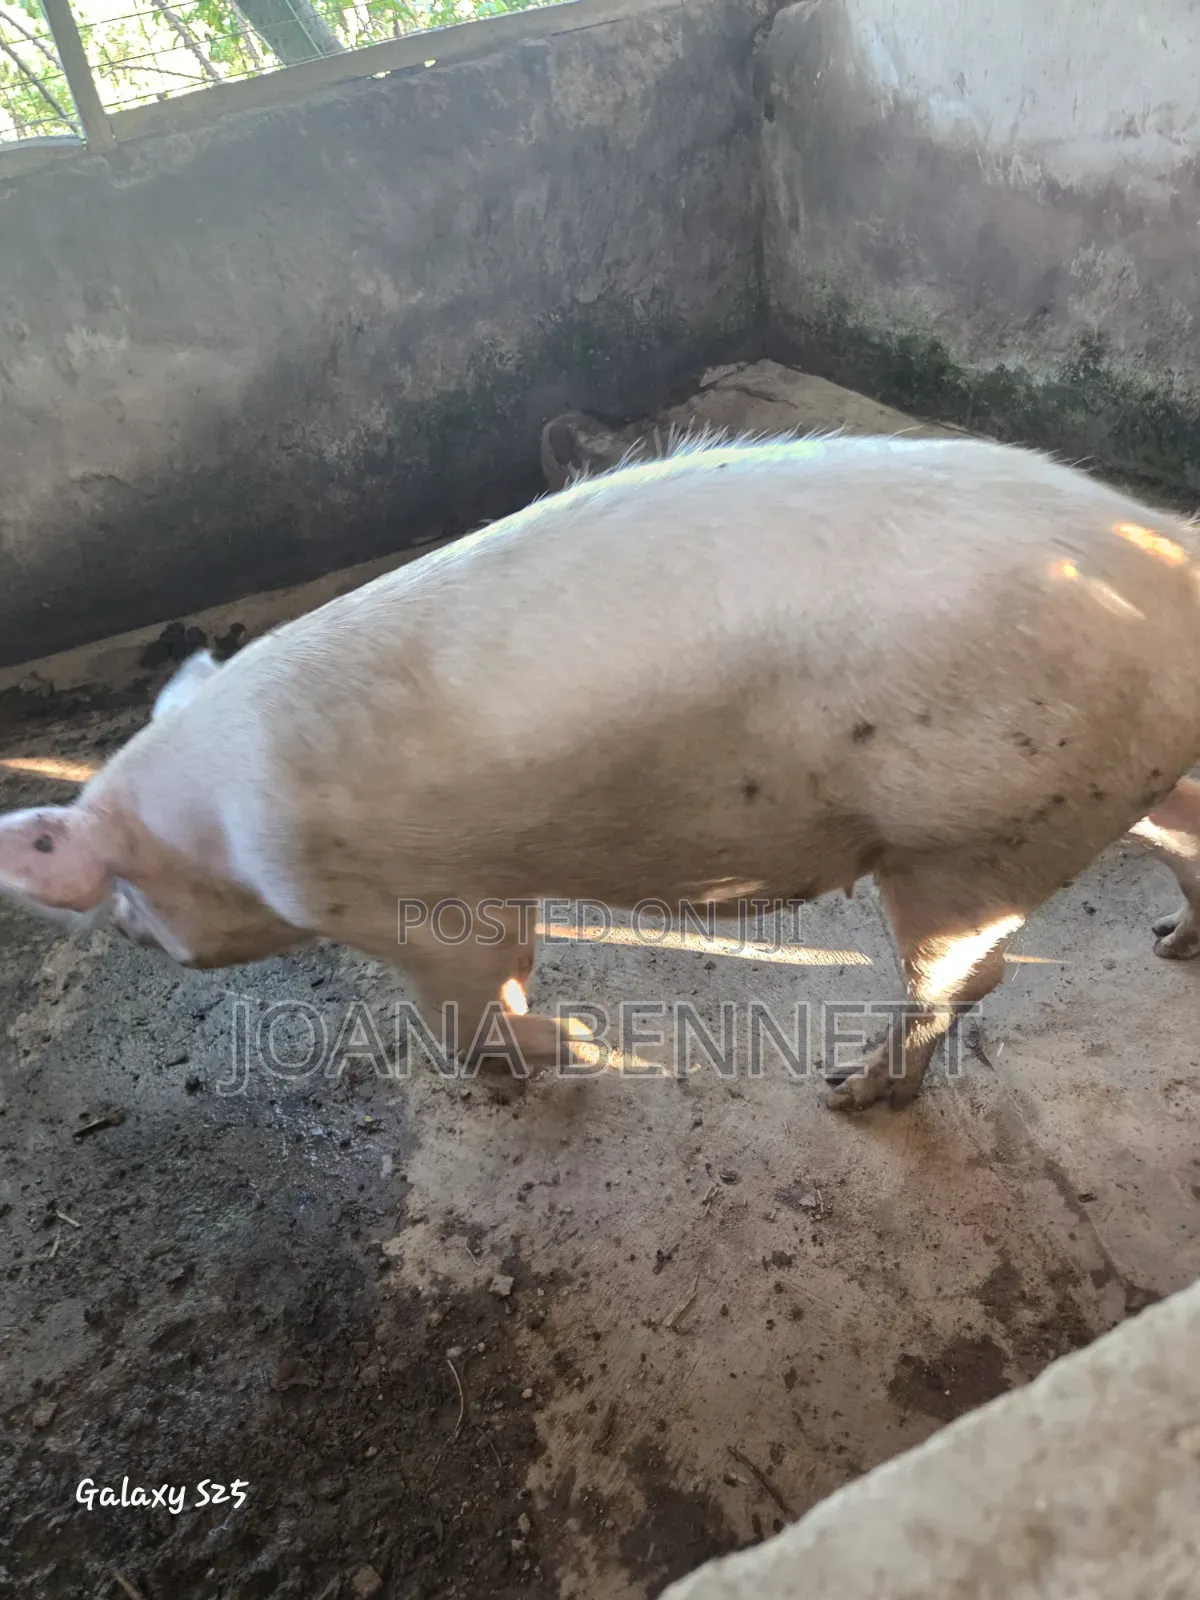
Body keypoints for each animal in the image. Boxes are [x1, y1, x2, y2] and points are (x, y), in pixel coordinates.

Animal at [1, 432, 1199, 1111]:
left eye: (122, 900)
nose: (131, 932)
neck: (213, 821)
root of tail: (1168, 559)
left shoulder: (405, 902)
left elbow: (469, 994)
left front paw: (564, 1051)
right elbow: (508, 963)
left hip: (972, 836)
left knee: (964, 977)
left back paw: (848, 1094)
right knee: (1181, 835)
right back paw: (1169, 943)